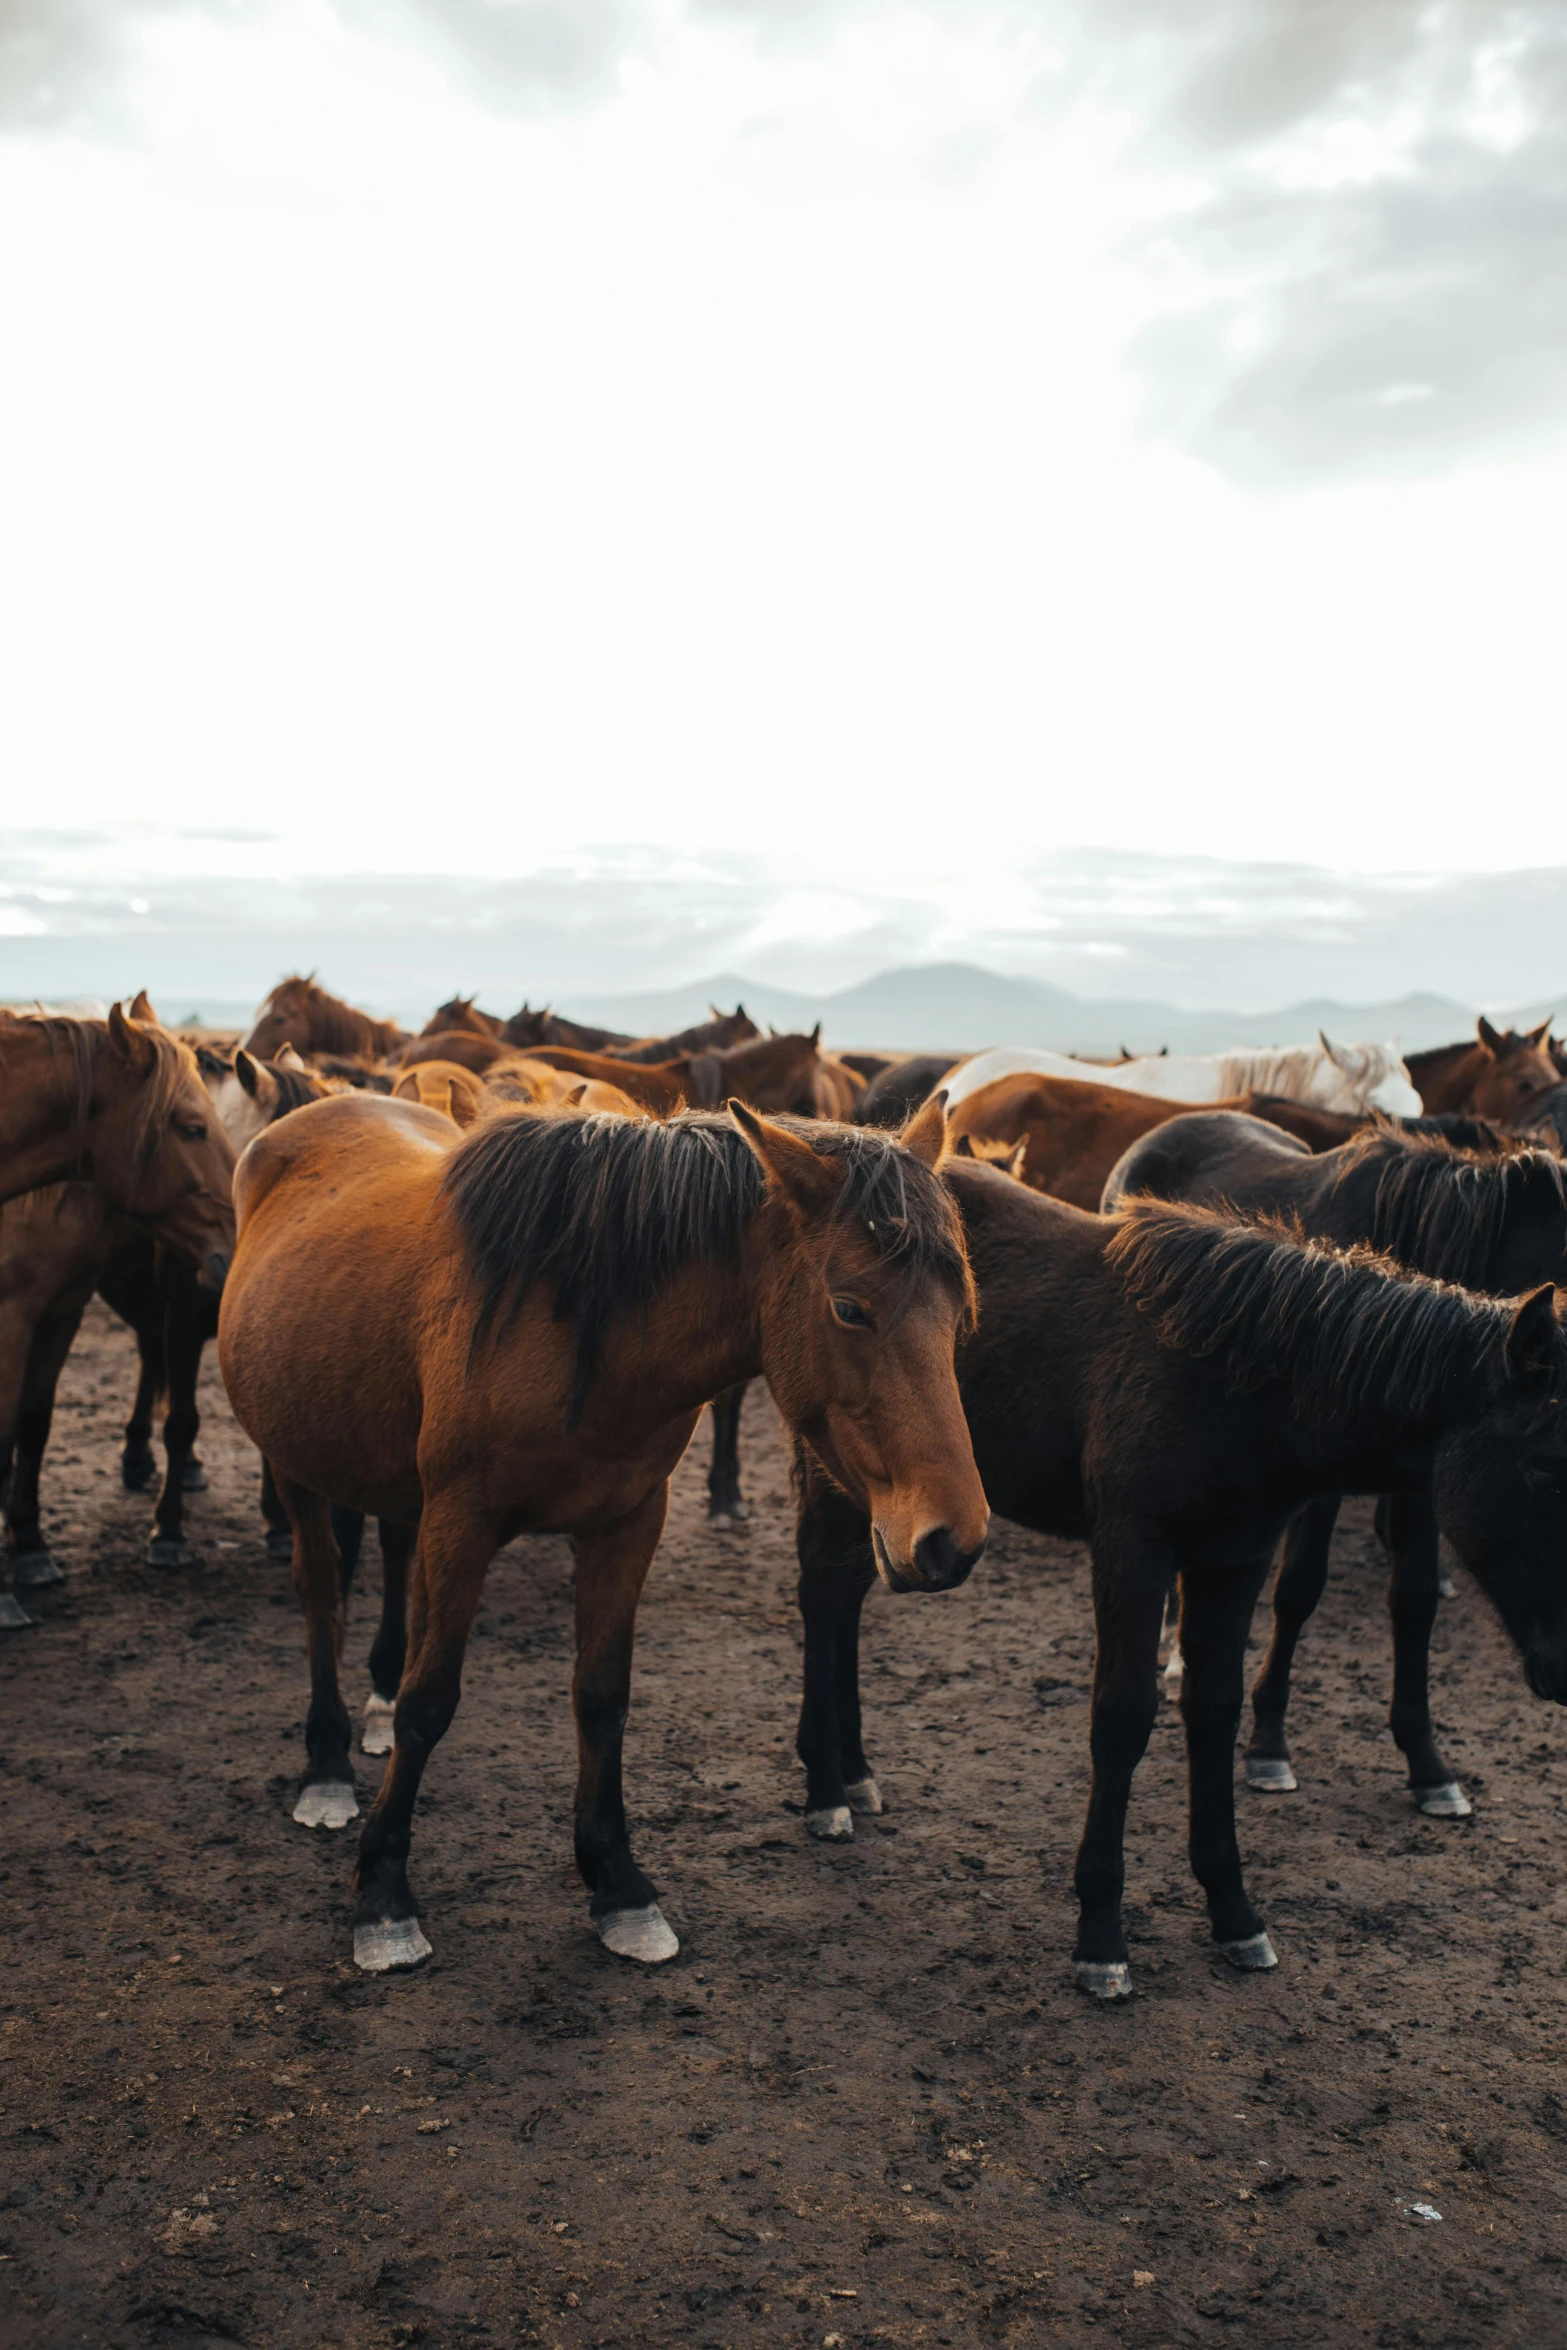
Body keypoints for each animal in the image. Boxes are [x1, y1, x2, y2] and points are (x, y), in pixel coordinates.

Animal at [217, 1090, 991, 1973]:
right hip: (293, 1462)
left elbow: (602, 1696)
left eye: (957, 1309)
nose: (951, 1539)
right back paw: (325, 1768)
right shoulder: (462, 1521)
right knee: (321, 1592)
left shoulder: (627, 1522)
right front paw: (382, 1897)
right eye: (849, 1308)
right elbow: (429, 1702)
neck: (581, 1326)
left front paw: (618, 1885)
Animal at [1104, 1104, 1567, 1814]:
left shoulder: (1426, 1471)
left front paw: (1428, 1766)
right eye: (1544, 1471)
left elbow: (1414, 1600)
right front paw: (1268, 1747)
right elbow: (1298, 1590)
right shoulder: (1320, 1477)